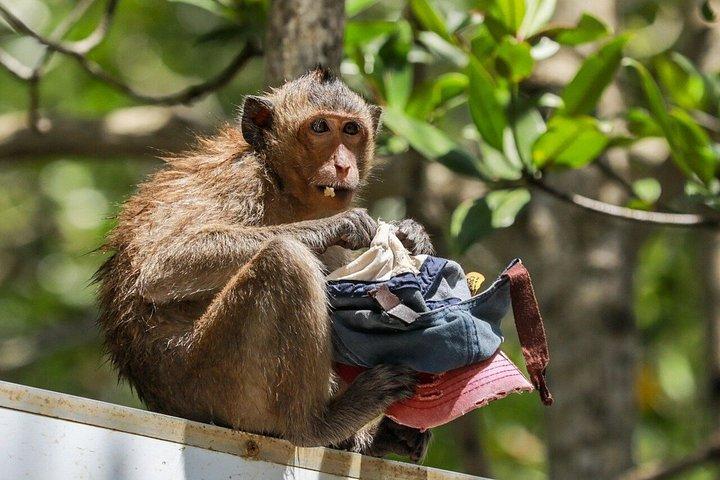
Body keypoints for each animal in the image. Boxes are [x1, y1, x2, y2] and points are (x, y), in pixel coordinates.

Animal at [95, 68, 433, 459]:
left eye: (351, 130)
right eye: (319, 127)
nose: (342, 164)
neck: (280, 183)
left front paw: (412, 235)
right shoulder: (241, 181)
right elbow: (163, 266)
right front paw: (340, 225)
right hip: (212, 378)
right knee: (284, 259)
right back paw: (317, 424)